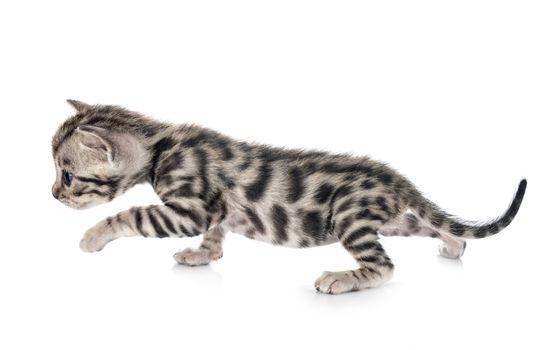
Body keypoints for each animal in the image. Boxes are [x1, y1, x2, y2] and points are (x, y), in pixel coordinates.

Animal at [51, 100, 528, 294]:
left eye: (68, 175)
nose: (53, 194)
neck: (161, 143)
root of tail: (396, 180)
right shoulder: (213, 211)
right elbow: (216, 234)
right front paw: (204, 255)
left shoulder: (187, 209)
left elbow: (130, 214)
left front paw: (92, 237)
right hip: (387, 219)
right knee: (430, 224)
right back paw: (453, 244)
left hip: (350, 218)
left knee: (385, 266)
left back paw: (344, 278)